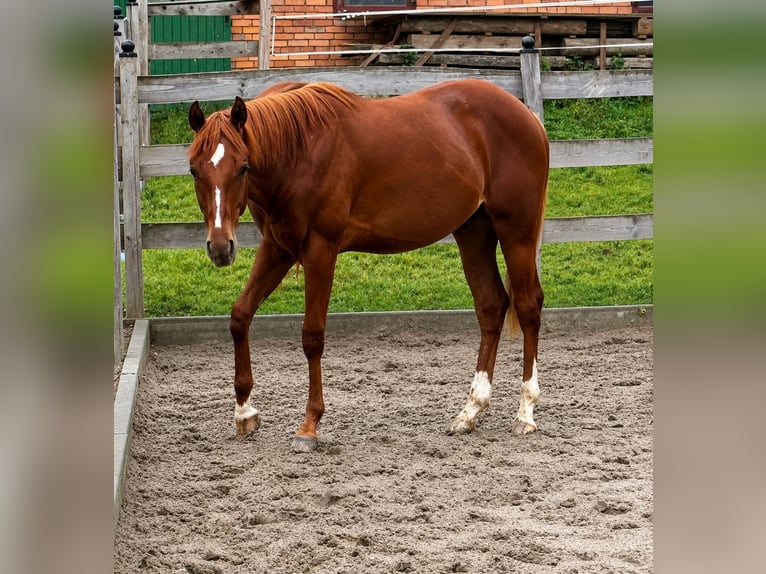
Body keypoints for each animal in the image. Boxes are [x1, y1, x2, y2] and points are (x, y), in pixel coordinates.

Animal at [187, 79, 549, 452]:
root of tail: (528, 118)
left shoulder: (320, 249)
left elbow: (312, 336)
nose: (220, 247)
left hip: (516, 232)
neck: (298, 150)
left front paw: (309, 424)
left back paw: (525, 413)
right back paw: (471, 411)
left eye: (243, 167)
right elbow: (240, 316)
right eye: (194, 170)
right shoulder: (277, 249)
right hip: (474, 231)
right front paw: (244, 412)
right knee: (491, 307)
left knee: (528, 307)